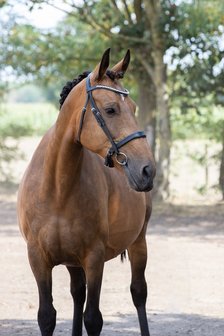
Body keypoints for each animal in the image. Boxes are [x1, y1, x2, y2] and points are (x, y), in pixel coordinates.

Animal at [17, 48, 156, 336]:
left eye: (134, 108)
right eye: (110, 109)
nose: (147, 170)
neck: (57, 190)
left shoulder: (94, 258)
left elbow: (93, 318)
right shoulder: (38, 259)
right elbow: (47, 316)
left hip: (139, 242)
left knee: (139, 293)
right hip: (73, 262)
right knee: (77, 294)